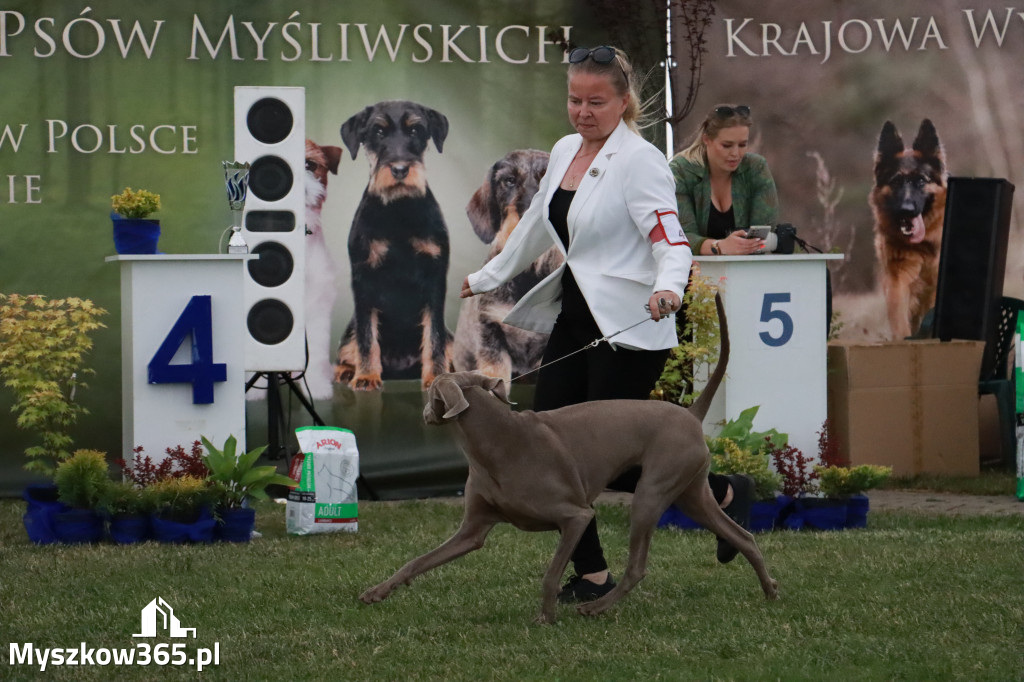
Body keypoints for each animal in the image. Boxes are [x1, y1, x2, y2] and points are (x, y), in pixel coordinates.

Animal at [360, 292, 774, 622]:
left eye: (432, 391)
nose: (423, 413)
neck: (493, 442)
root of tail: (689, 413)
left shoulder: (575, 516)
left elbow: (550, 574)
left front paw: (546, 617)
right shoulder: (472, 530)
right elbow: (419, 559)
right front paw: (376, 592)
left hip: (652, 490)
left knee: (637, 567)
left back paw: (595, 607)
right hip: (690, 492)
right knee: (743, 536)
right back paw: (769, 589)